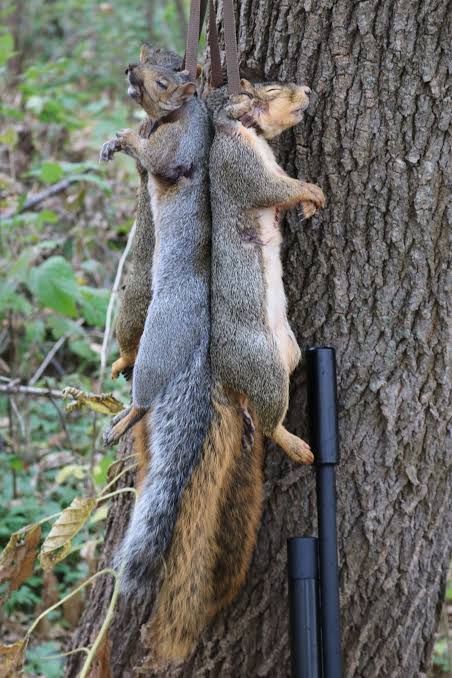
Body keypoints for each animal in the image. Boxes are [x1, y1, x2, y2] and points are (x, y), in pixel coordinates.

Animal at [208, 79, 326, 466]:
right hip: (265, 369)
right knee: (268, 423)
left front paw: (307, 205)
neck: (250, 132)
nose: (307, 90)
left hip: (288, 352)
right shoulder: (240, 166)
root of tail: (225, 370)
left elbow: (285, 189)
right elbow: (273, 189)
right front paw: (312, 191)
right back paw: (296, 446)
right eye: (272, 90)